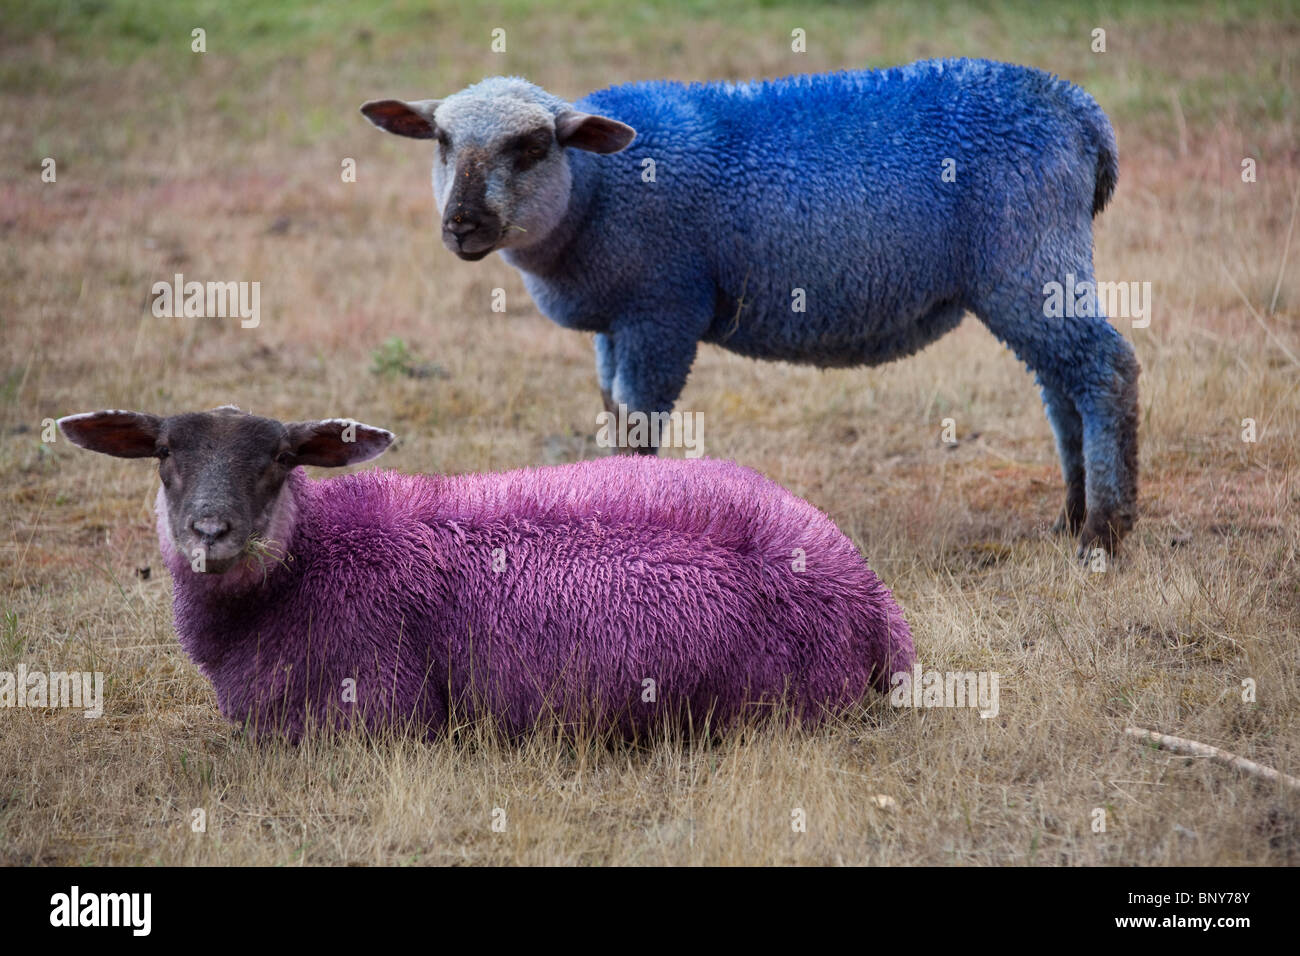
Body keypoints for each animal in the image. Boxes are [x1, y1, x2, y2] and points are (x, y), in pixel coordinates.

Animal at [58, 403, 915, 738]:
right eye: (164, 454)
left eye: (278, 460)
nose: (210, 531)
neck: (312, 558)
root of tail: (874, 599)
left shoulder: (376, 714)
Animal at [364, 57, 1138, 554]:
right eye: (440, 140)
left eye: (530, 146)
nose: (461, 225)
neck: (596, 192)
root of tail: (1082, 114)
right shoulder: (618, 320)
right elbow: (613, 408)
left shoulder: (662, 310)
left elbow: (640, 424)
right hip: (1032, 269)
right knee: (1061, 385)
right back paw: (1071, 517)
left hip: (1027, 251)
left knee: (1106, 369)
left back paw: (1106, 533)